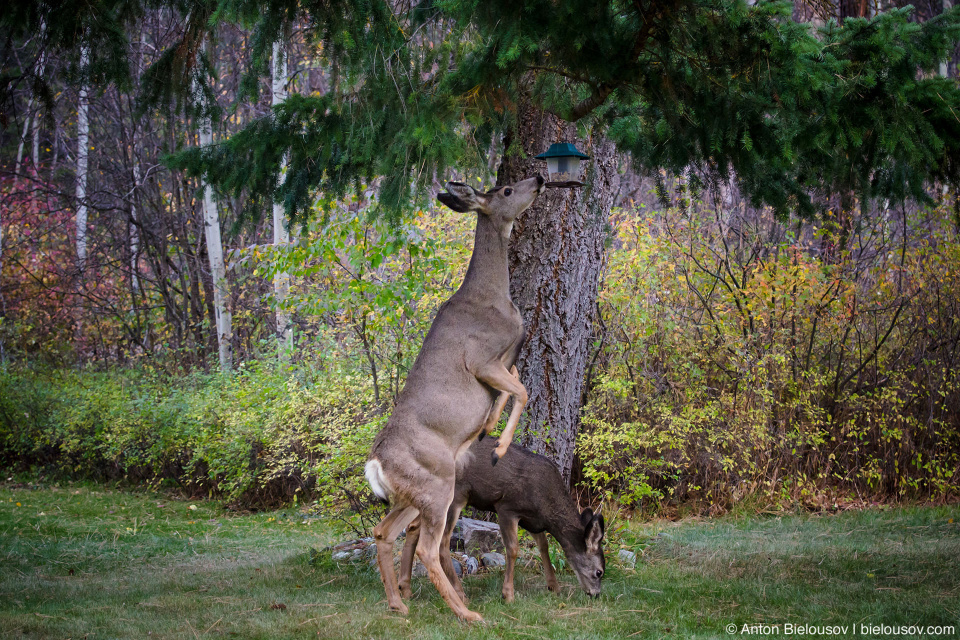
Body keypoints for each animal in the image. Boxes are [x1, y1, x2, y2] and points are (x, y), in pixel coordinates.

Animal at [366, 174, 548, 620]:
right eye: (505, 190)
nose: (538, 178)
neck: (491, 297)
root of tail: (376, 463)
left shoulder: (503, 361)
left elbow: (514, 384)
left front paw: (486, 428)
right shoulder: (481, 359)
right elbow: (522, 389)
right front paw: (498, 446)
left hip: (414, 494)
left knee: (383, 531)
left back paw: (399, 604)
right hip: (437, 486)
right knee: (429, 547)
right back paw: (466, 613)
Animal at [394, 440, 604, 604]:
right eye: (599, 572)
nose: (596, 594)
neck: (546, 505)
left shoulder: (533, 520)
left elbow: (543, 546)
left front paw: (554, 586)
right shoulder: (507, 507)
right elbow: (512, 549)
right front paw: (508, 594)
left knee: (413, 528)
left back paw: (405, 589)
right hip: (455, 497)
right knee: (442, 542)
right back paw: (460, 594)